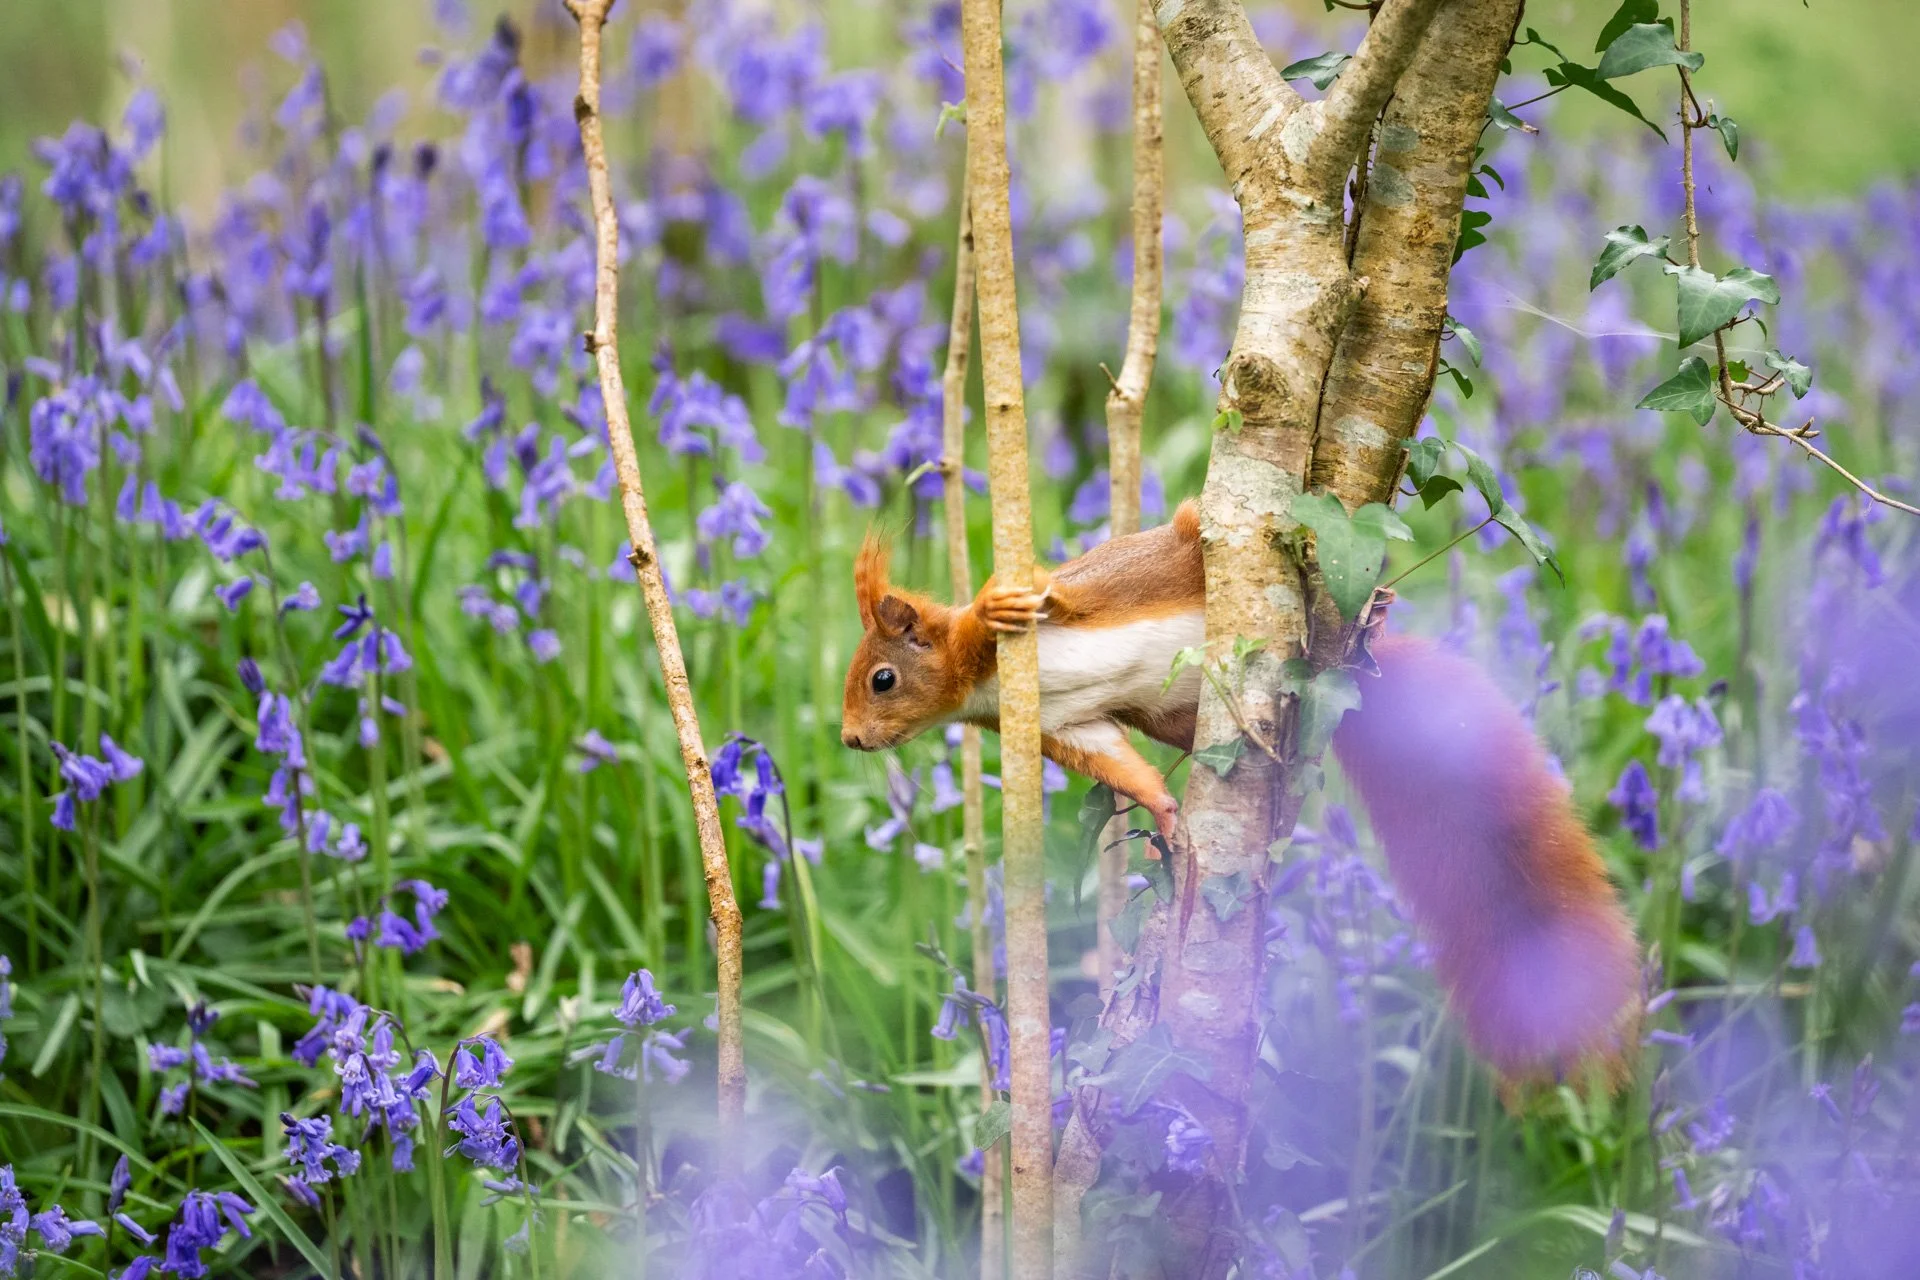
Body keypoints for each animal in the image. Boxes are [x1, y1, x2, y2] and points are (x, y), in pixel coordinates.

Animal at [841, 500, 1641, 1085]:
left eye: (882, 679)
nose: (849, 740)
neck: (974, 680)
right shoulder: (1062, 724)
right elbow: (1118, 765)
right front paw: (1163, 814)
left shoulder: (1060, 614)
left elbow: (1046, 592)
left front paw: (999, 602)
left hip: (1194, 563)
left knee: (1197, 530)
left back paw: (1366, 601)